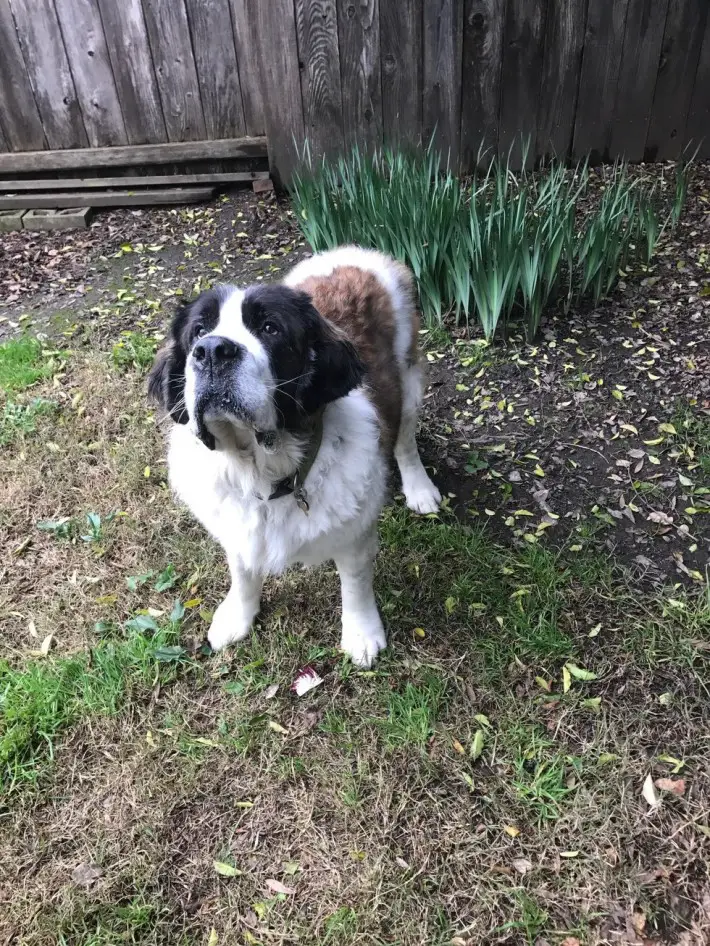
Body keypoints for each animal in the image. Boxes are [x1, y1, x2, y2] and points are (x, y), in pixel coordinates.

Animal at [149, 247, 440, 668]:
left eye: (271, 329)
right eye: (198, 332)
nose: (213, 351)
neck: (262, 471)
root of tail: (355, 252)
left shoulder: (355, 532)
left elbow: (355, 585)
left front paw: (361, 634)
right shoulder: (236, 528)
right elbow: (242, 572)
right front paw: (237, 617)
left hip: (409, 381)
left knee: (404, 440)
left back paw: (419, 488)